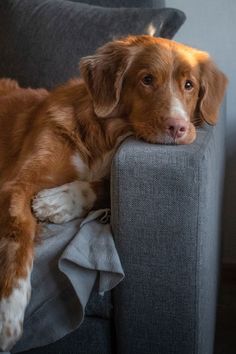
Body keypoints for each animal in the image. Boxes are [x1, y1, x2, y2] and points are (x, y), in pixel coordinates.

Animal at [0, 34, 227, 350]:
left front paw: (60, 201)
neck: (105, 137)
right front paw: (8, 314)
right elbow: (17, 240)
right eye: (147, 79)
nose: (179, 128)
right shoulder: (16, 185)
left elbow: (105, 186)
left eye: (189, 85)